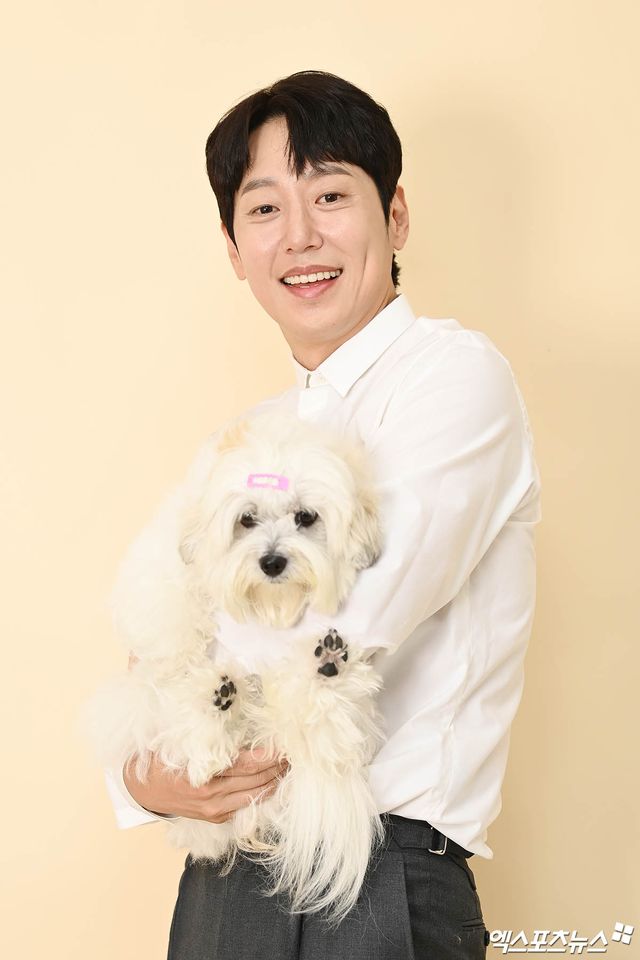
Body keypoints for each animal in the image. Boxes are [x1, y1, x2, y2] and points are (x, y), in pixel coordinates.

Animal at [88, 413, 384, 921]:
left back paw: (324, 668)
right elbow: (174, 618)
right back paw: (218, 703)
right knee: (192, 737)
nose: (272, 561)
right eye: (246, 519)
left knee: (310, 718)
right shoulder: (165, 570)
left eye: (306, 517)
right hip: (151, 710)